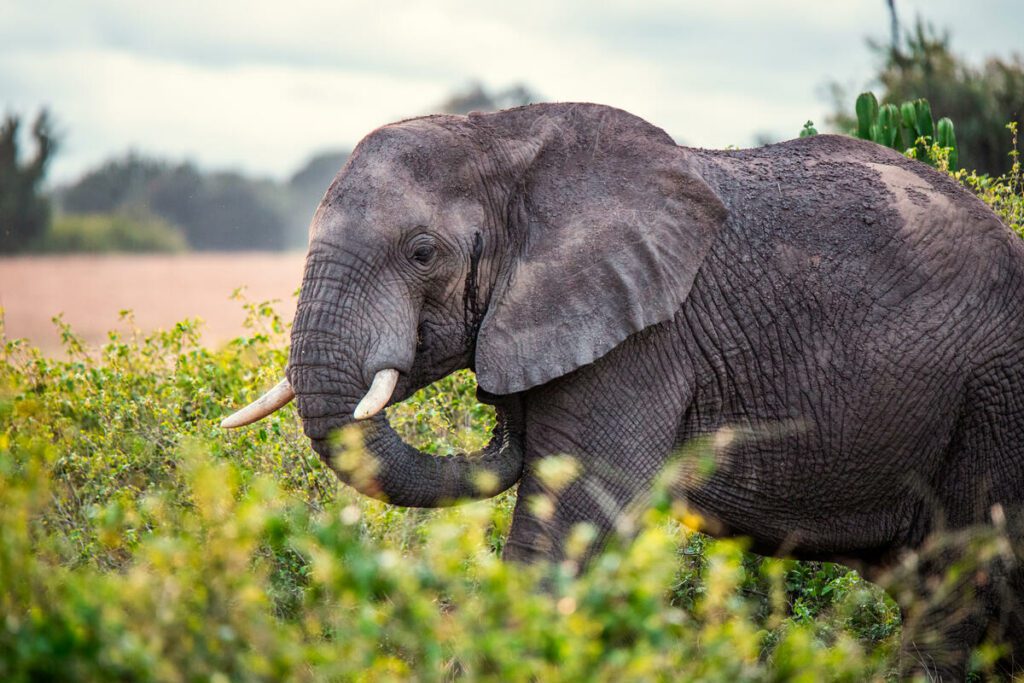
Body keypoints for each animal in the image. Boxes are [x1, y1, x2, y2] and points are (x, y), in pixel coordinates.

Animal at [222, 101, 1024, 679]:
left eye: (422, 253)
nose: (496, 412)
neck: (499, 139)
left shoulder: (641, 339)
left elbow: (572, 525)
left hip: (995, 394)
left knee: (973, 579)